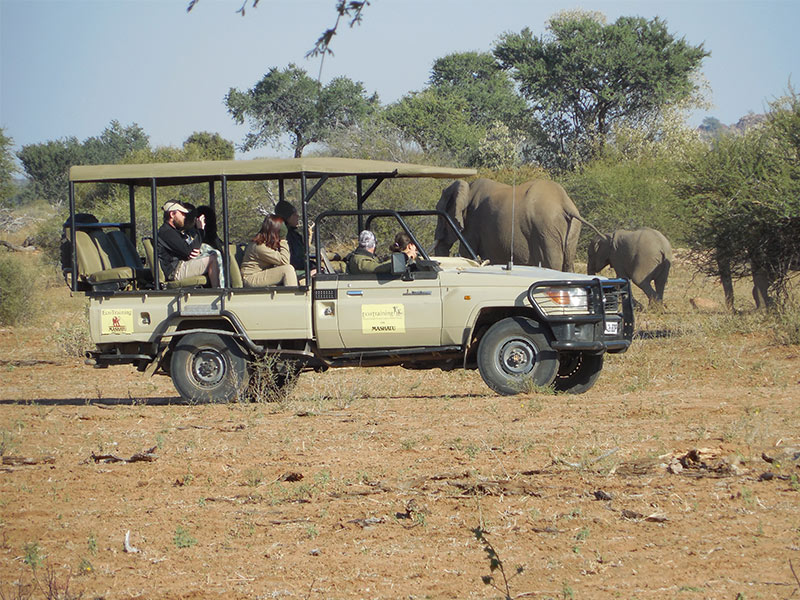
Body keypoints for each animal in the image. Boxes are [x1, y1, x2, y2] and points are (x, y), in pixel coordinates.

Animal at [434, 178, 592, 272]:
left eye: (441, 217)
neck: (467, 187)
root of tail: (564, 203)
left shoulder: (471, 224)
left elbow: (467, 253)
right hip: (571, 231)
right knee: (568, 264)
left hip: (546, 231)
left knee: (552, 264)